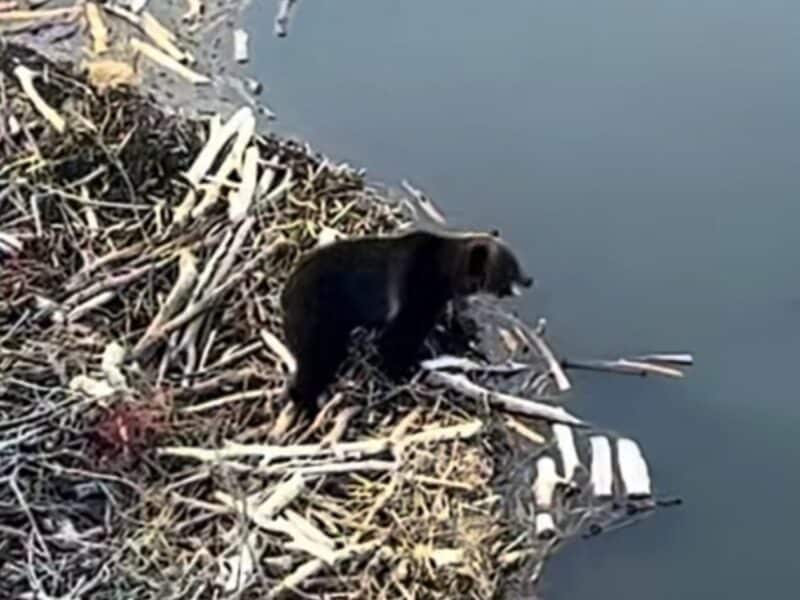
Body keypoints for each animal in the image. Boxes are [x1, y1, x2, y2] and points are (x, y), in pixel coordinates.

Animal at [280, 228, 533, 418]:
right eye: (511, 267)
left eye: (516, 263)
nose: (529, 279)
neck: (445, 274)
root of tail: (285, 295)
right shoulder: (416, 290)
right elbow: (397, 339)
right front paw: (404, 370)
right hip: (320, 317)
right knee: (316, 362)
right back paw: (307, 403)